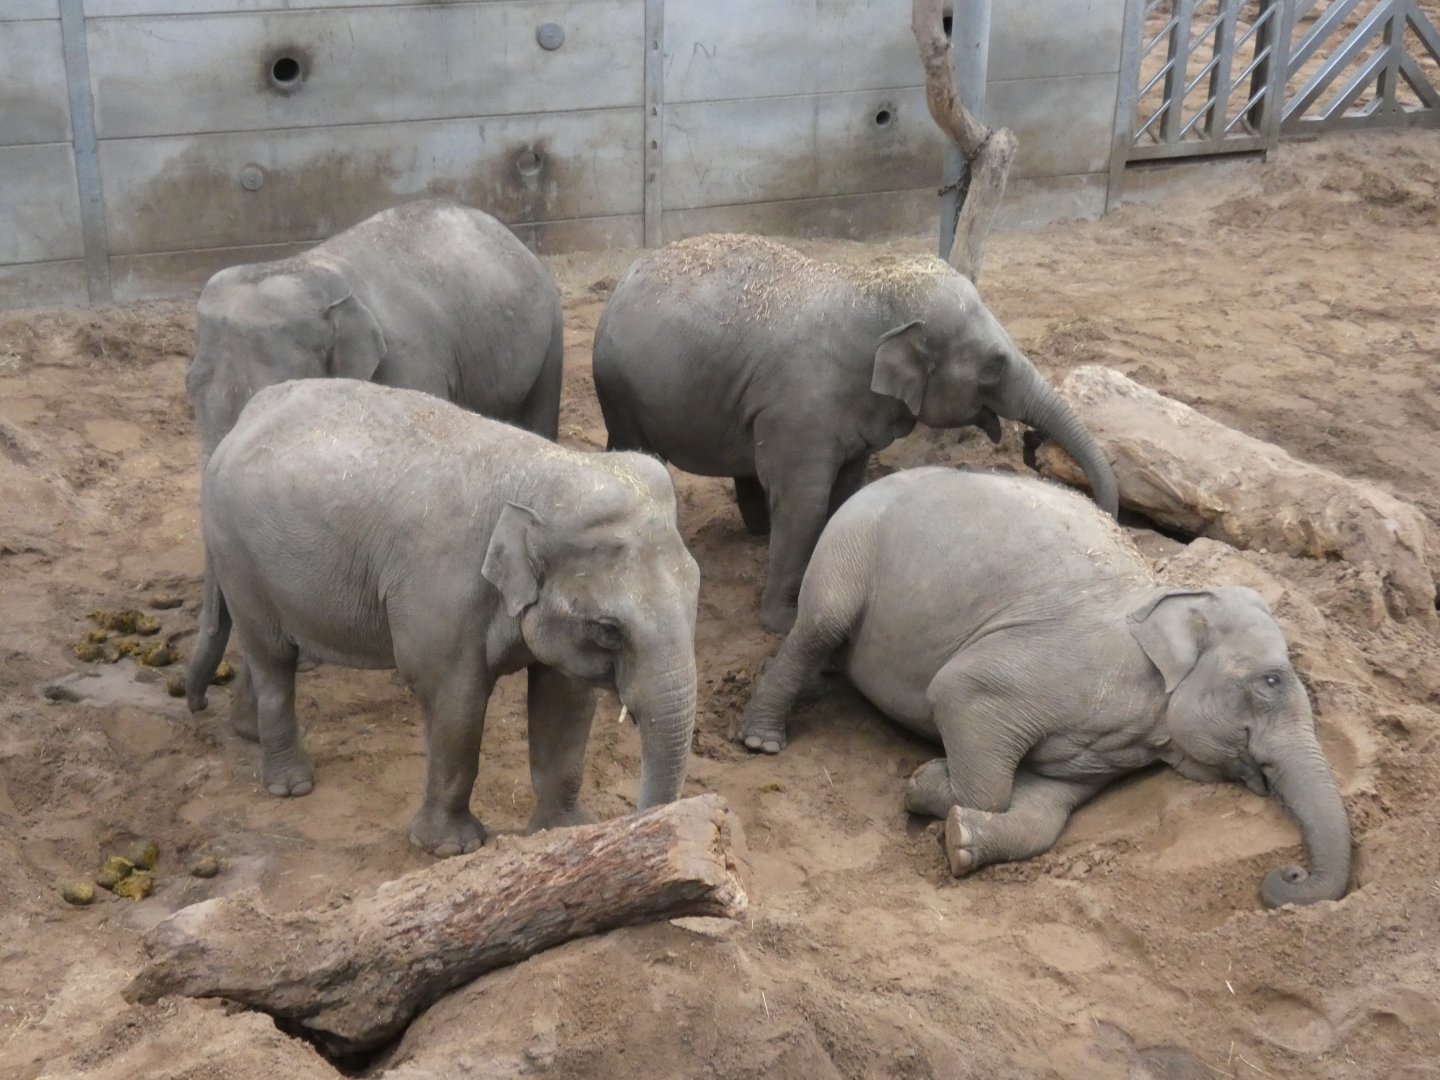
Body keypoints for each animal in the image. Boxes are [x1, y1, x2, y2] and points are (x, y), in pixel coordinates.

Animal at [185, 379, 701, 856]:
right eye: (609, 629)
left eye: (696, 594)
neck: (542, 473)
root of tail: (244, 418)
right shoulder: (442, 593)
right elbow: (455, 702)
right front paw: (450, 847)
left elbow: (565, 702)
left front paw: (566, 829)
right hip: (237, 552)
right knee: (272, 657)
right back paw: (290, 785)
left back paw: (249, 734)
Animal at [592, 233, 1119, 634]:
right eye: (995, 365)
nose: (1031, 446)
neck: (872, 291)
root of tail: (623, 280)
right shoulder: (800, 409)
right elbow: (804, 505)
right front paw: (782, 625)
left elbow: (845, 494)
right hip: (620, 395)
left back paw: (757, 533)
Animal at [739, 466, 1351, 908]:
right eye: (1270, 681)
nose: (1289, 873)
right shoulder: (1054, 667)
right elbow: (959, 695)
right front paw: (926, 782)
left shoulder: (1098, 753)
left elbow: (1045, 811)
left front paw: (960, 840)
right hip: (848, 547)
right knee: (820, 624)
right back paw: (762, 741)